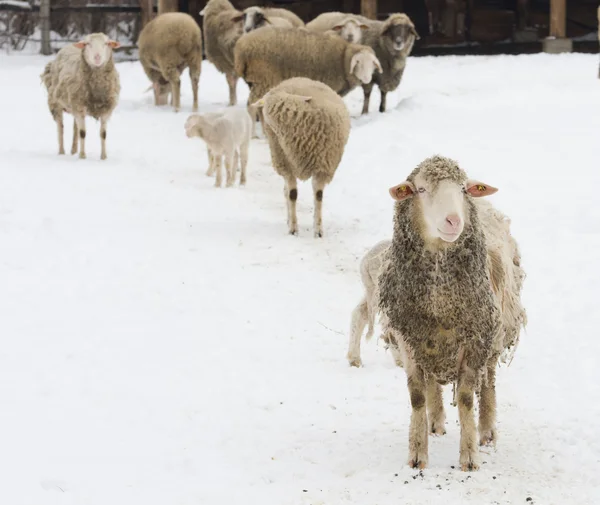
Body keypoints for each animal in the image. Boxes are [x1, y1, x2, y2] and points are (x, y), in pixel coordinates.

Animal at [233, 26, 380, 107]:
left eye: (372, 63)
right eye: (358, 62)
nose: (367, 79)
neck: (343, 59)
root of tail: (240, 48)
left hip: (254, 80)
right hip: (264, 78)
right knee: (252, 105)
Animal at [252, 77, 352, 238]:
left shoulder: (322, 167)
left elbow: (318, 196)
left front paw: (318, 230)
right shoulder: (287, 166)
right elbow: (292, 194)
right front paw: (293, 228)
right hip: (282, 159)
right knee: (286, 192)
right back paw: (289, 220)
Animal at [356, 156, 524, 470]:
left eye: (463, 188)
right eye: (420, 189)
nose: (454, 221)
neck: (440, 296)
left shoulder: (475, 339)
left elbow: (468, 398)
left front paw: (469, 456)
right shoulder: (408, 338)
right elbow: (417, 397)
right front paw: (417, 454)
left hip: (494, 332)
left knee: (489, 382)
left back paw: (486, 431)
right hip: (429, 341)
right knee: (433, 382)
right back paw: (435, 422)